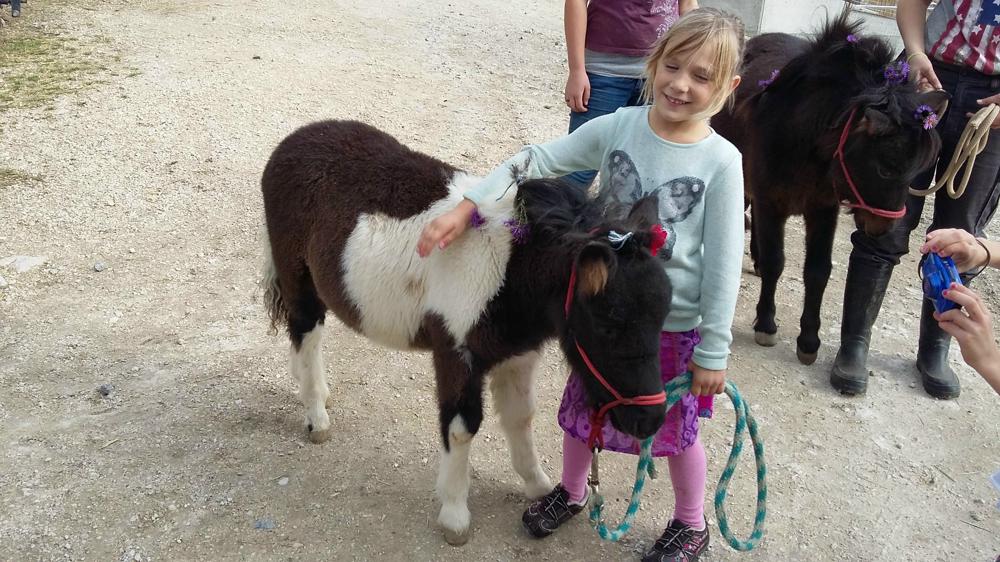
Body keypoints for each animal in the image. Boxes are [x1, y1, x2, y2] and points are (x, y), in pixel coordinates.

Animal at [258, 119, 672, 544]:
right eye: (608, 323)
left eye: (663, 316)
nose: (650, 420)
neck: (510, 272)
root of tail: (293, 141)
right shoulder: (456, 353)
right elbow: (461, 428)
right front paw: (455, 515)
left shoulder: (518, 354)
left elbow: (520, 417)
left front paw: (538, 486)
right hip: (298, 279)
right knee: (306, 333)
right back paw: (316, 417)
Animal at [716, 10, 940, 366]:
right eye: (886, 168)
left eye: (917, 171)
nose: (883, 228)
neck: (802, 140)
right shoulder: (770, 203)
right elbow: (776, 262)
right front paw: (766, 323)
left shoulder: (822, 209)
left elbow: (818, 270)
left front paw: (809, 340)